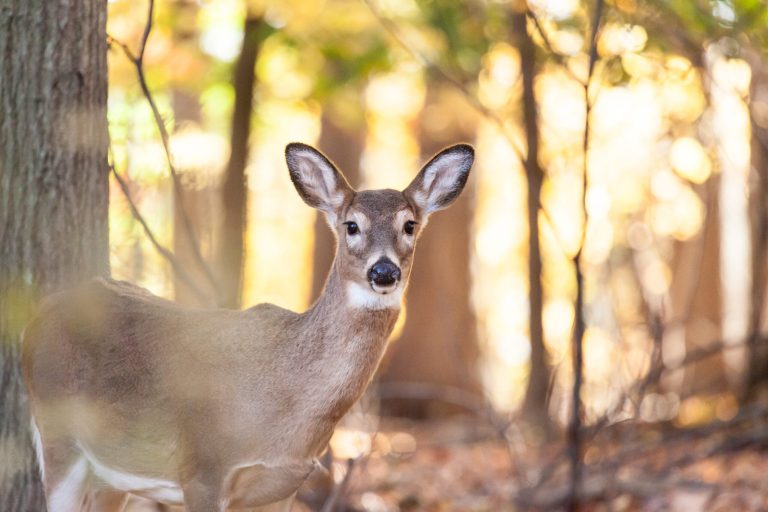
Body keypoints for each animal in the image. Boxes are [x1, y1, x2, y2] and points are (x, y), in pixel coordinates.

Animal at [21, 141, 474, 511]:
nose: (384, 272)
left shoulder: (282, 485)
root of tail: (36, 318)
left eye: (409, 225)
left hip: (112, 474)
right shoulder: (203, 467)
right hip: (57, 434)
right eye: (352, 225)